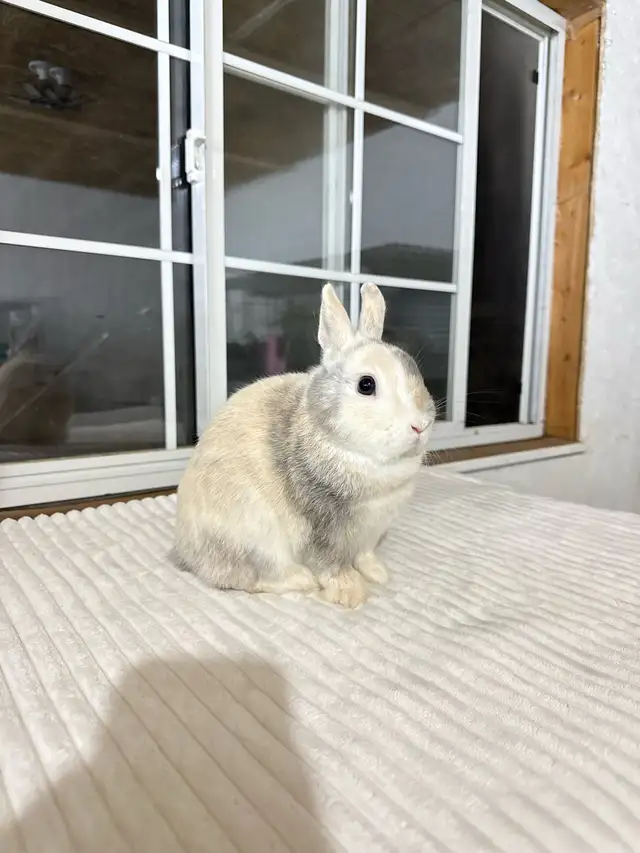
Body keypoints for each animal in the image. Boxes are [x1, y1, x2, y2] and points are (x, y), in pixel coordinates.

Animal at [174, 282, 436, 608]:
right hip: (255, 541)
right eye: (366, 385)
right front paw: (351, 594)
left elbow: (365, 556)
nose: (419, 425)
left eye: (417, 374)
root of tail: (186, 553)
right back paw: (301, 580)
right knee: (250, 579)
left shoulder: (370, 533)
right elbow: (330, 564)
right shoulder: (323, 528)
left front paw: (378, 574)